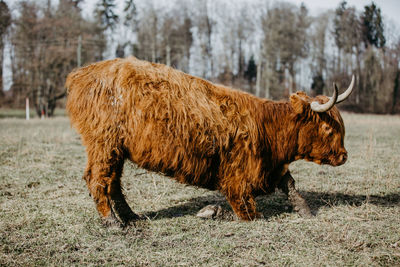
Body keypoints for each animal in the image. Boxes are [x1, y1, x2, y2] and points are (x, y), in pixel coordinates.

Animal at [65, 57, 354, 226]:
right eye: (328, 129)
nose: (344, 156)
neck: (269, 129)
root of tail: (82, 73)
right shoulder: (238, 179)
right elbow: (249, 213)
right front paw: (211, 211)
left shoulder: (271, 167)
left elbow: (290, 185)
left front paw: (306, 211)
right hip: (104, 144)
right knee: (97, 179)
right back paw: (112, 222)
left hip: (116, 149)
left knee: (113, 182)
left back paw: (130, 216)